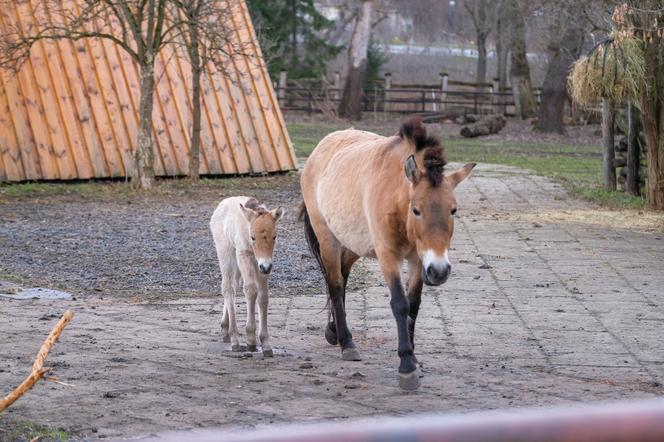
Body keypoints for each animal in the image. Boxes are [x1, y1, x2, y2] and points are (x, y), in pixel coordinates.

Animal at [298, 117, 474, 390]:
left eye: (453, 210)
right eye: (416, 210)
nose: (439, 271)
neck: (395, 195)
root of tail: (320, 149)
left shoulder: (418, 259)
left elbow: (413, 305)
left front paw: (414, 358)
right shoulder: (388, 256)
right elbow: (400, 304)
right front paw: (407, 366)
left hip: (353, 244)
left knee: (342, 277)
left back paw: (333, 331)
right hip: (328, 239)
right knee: (335, 284)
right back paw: (346, 342)